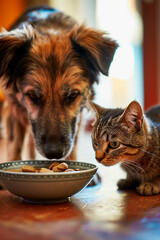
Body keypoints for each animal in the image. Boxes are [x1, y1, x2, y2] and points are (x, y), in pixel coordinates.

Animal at [0, 5, 117, 162]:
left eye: (73, 95)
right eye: (32, 95)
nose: (54, 154)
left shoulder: (77, 119)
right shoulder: (13, 109)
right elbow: (14, 148)